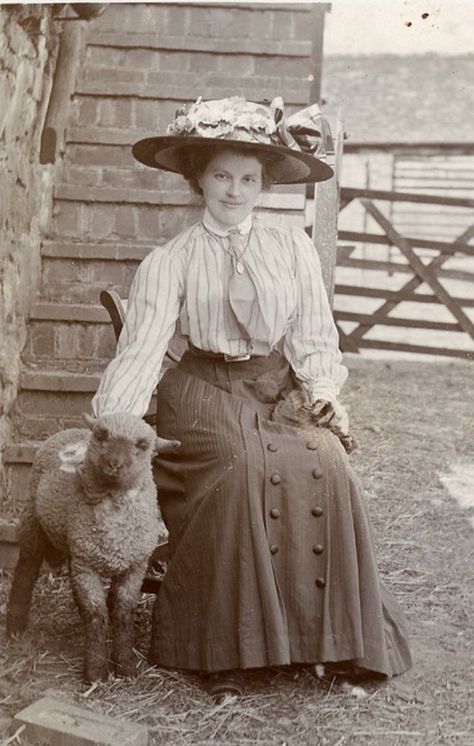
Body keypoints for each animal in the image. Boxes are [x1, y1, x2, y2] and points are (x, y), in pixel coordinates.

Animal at [6, 410, 181, 684]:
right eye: (101, 435)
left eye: (143, 445)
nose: (114, 464)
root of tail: (70, 430)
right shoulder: (86, 565)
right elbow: (96, 613)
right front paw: (96, 671)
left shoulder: (134, 566)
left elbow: (123, 612)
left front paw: (125, 666)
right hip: (32, 520)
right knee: (26, 569)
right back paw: (14, 627)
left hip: (71, 544)